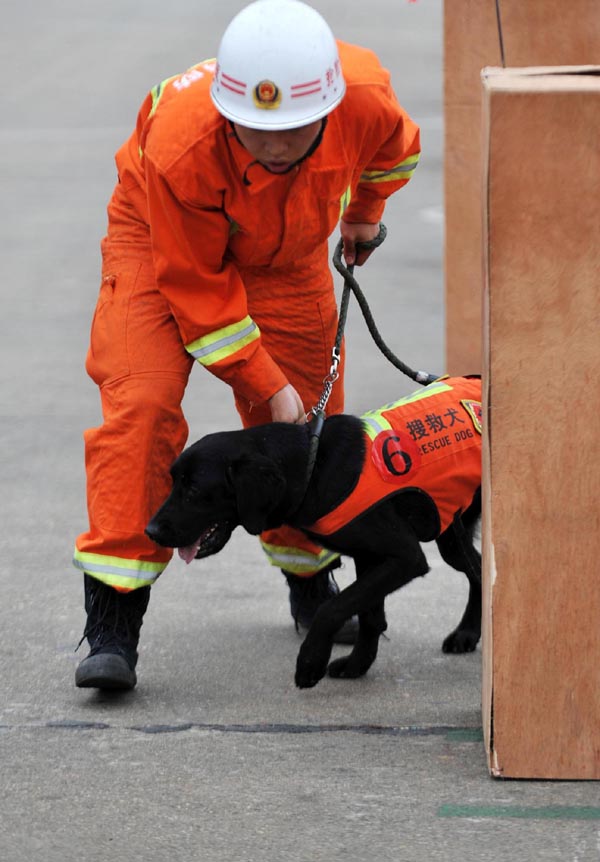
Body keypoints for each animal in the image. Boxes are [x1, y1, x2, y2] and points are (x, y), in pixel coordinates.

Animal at [145, 374, 482, 692]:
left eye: (193, 490)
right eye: (173, 481)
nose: (150, 531)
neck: (313, 466)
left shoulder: (404, 557)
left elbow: (333, 607)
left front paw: (310, 662)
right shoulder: (369, 556)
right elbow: (369, 615)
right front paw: (358, 665)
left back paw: (467, 634)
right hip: (452, 530)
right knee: (478, 567)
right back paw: (469, 634)